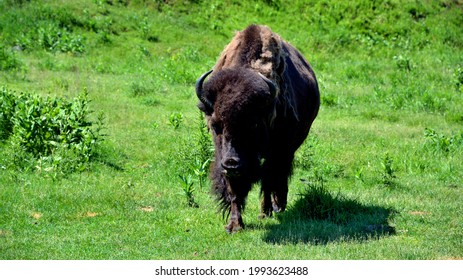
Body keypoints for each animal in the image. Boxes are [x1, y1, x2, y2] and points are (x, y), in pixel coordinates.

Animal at [195, 25, 320, 233]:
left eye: (252, 124)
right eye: (215, 125)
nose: (232, 164)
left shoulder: (277, 150)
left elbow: (269, 178)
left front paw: (267, 210)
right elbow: (235, 191)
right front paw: (234, 225)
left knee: (278, 176)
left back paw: (272, 208)